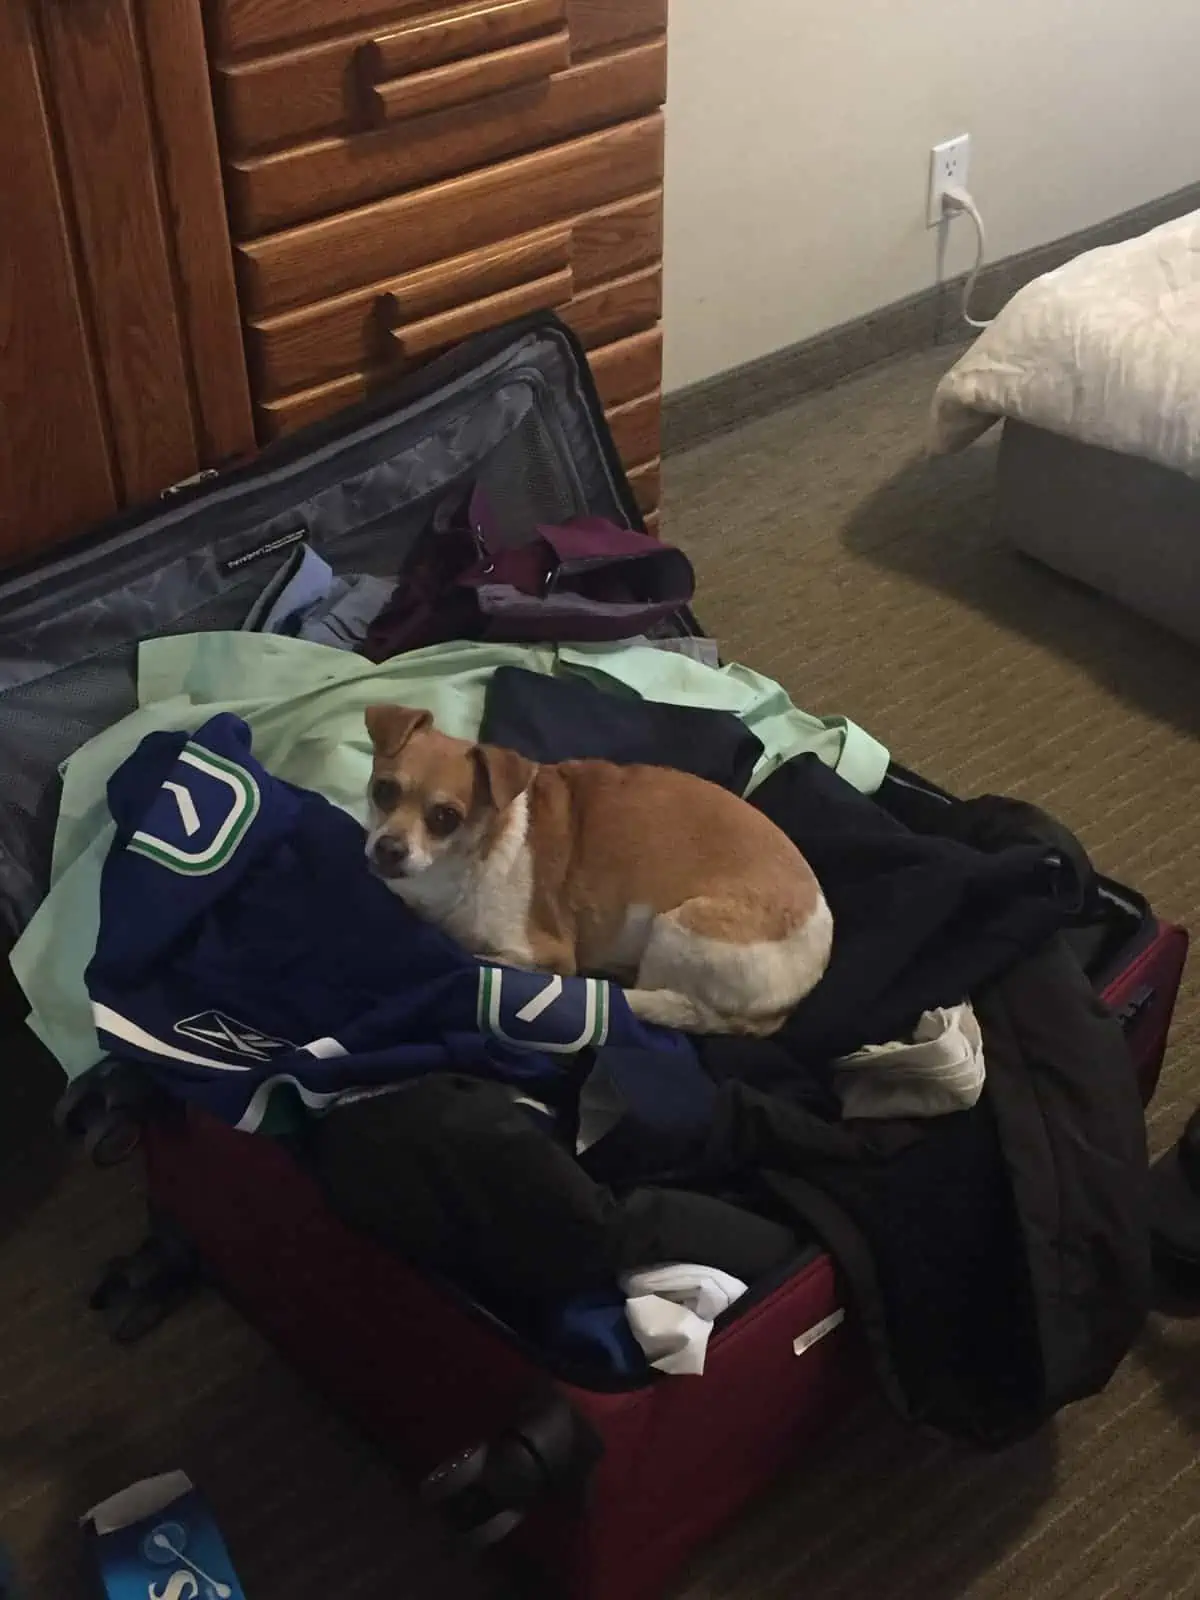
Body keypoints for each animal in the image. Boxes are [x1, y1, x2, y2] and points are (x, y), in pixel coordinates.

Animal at [366, 704, 838, 1036]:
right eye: (383, 790)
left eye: (445, 817)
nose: (388, 849)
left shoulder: (544, 953)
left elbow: (479, 956)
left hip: (679, 928)